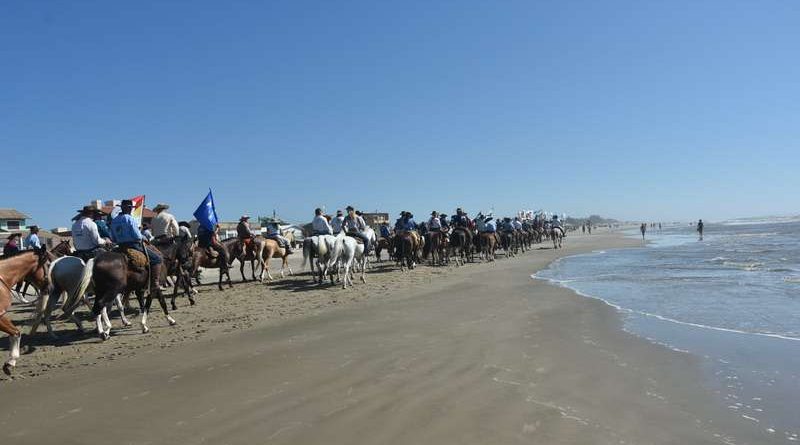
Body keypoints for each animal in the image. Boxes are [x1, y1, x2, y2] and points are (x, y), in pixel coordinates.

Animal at [0, 246, 50, 374]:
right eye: (47, 263)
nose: (48, 288)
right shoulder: (0, 316)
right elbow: (16, 333)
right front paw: (11, 362)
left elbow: (15, 333)